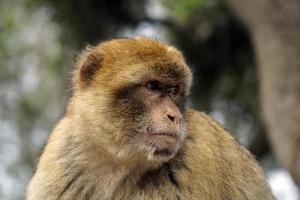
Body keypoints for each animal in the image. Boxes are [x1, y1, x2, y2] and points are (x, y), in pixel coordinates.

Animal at [26, 36, 274, 199]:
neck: (116, 162)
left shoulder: (197, 157)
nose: (174, 116)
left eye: (174, 90)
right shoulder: (58, 161)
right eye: (153, 86)